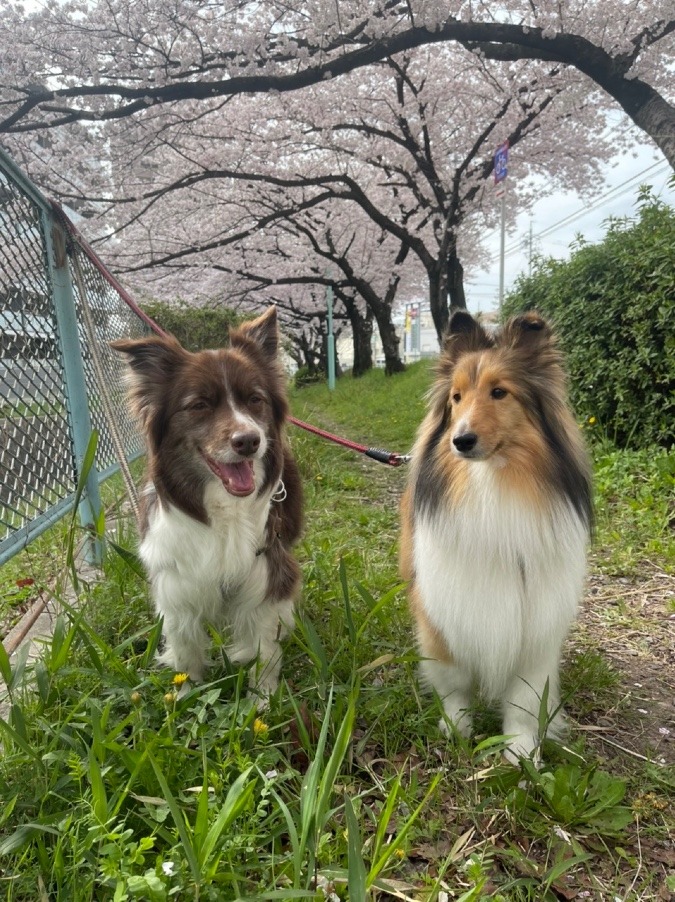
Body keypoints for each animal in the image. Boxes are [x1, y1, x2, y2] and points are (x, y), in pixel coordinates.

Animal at [112, 306, 302, 700]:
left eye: (255, 399)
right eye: (199, 405)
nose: (249, 441)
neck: (223, 506)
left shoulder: (264, 566)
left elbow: (263, 640)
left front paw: (263, 697)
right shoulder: (177, 580)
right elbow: (186, 647)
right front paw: (186, 694)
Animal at [402, 312, 592, 764]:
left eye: (499, 392)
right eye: (456, 398)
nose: (461, 441)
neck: (494, 485)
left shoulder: (535, 621)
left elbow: (524, 697)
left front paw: (521, 751)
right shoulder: (444, 608)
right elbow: (454, 680)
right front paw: (457, 728)